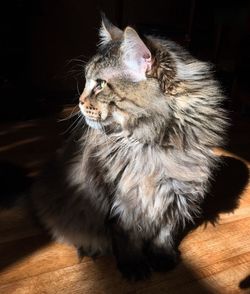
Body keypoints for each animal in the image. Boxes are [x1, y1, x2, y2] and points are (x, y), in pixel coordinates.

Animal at [30, 14, 228, 280]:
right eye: (88, 82)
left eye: (100, 84)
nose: (79, 101)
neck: (154, 145)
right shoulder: (120, 201)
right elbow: (127, 239)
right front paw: (134, 267)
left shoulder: (176, 196)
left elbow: (164, 234)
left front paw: (162, 258)